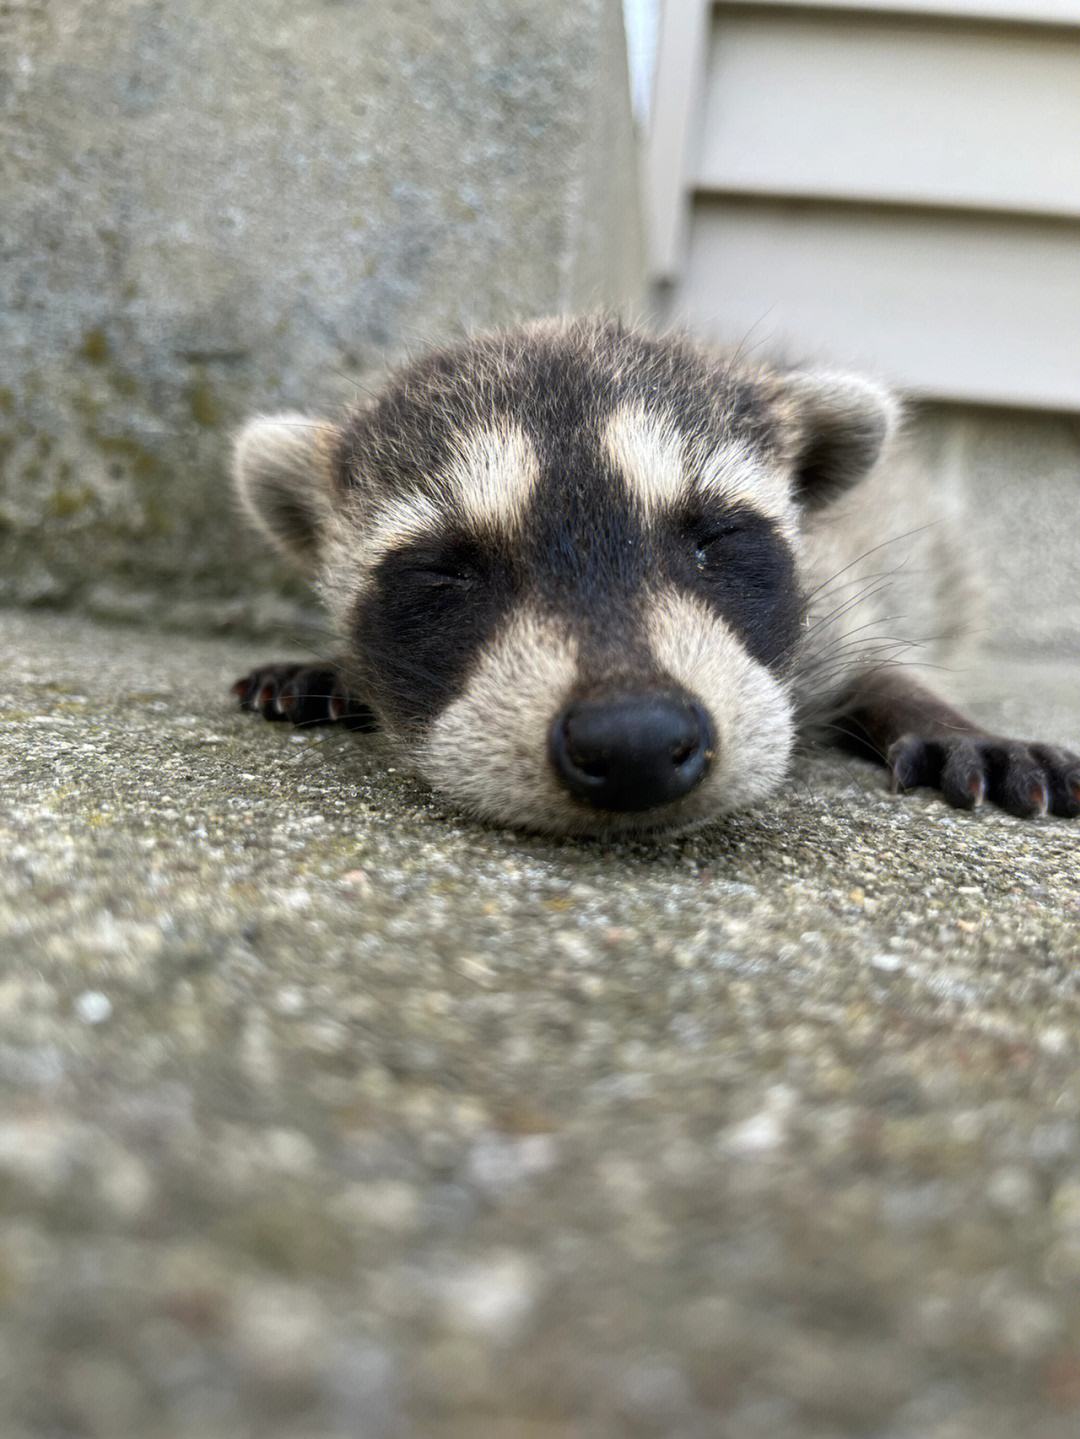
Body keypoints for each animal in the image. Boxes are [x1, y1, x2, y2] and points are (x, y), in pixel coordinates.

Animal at [230, 315, 1080, 834]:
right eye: (443, 572)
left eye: (719, 537)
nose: (634, 739)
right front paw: (333, 667)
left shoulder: (841, 585)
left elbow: (877, 657)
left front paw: (938, 712)